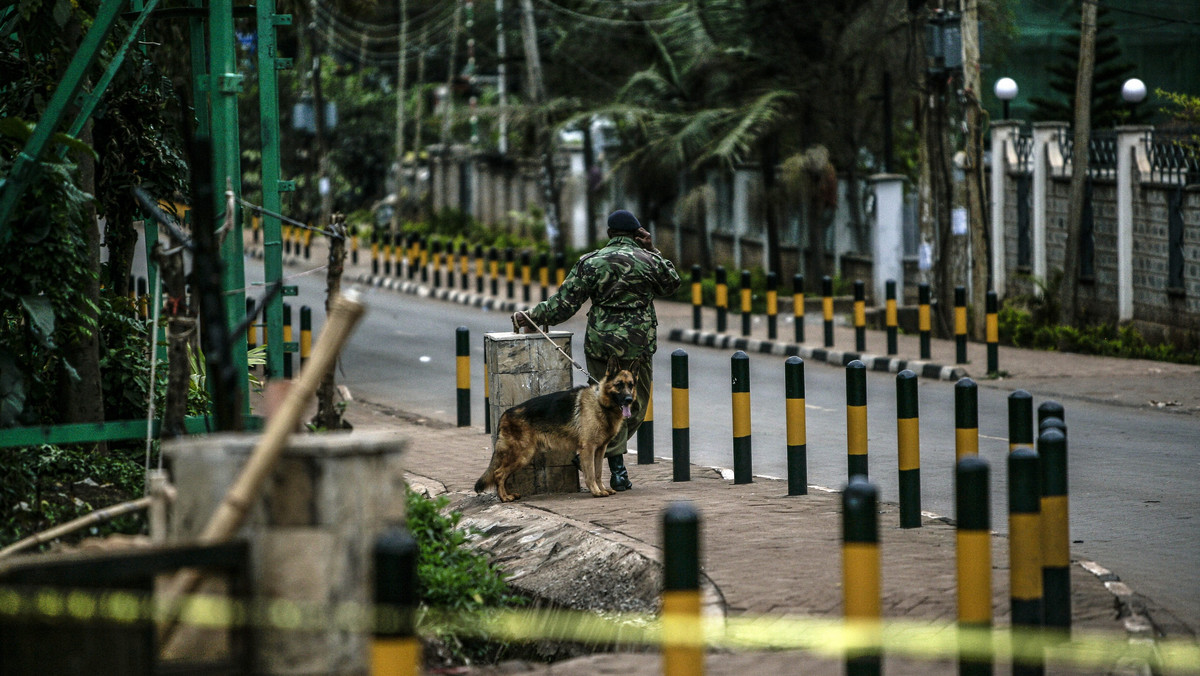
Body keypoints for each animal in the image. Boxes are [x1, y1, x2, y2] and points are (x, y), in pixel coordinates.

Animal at [472, 360, 638, 501]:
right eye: (619, 384)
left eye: (630, 385)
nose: (629, 400)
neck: (601, 403)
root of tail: (505, 414)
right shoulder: (589, 449)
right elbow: (591, 473)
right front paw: (596, 491)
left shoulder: (600, 449)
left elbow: (598, 472)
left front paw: (602, 489)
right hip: (523, 455)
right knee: (499, 473)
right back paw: (504, 498)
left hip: (522, 456)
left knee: (501, 474)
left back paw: (508, 494)